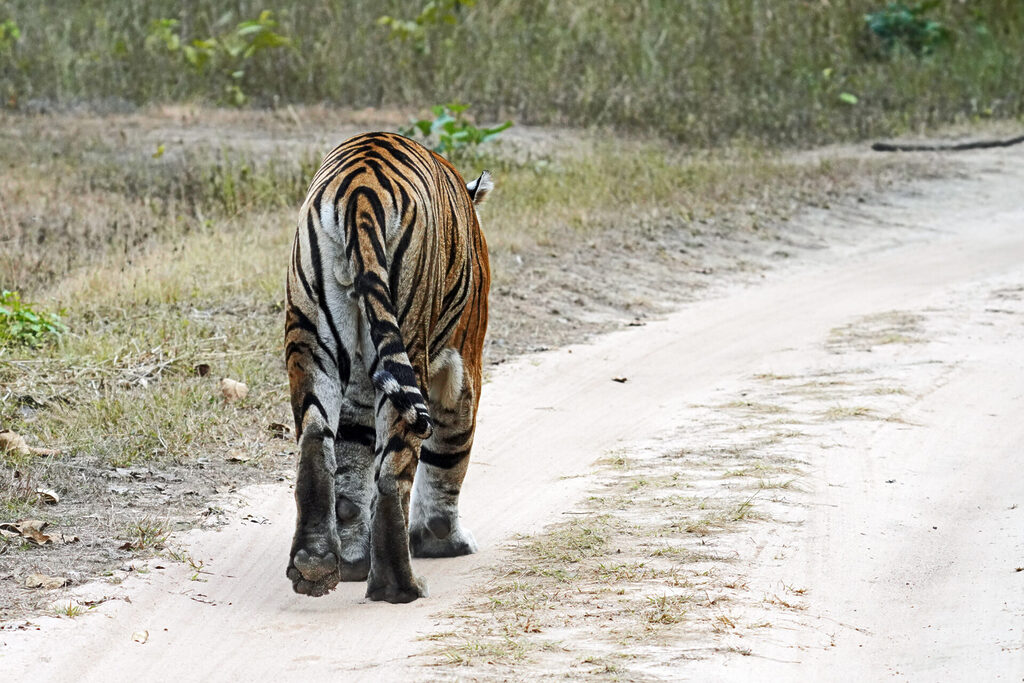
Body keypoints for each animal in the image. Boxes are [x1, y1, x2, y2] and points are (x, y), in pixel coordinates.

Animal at [284, 131, 492, 603]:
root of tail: (360, 191)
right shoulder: (464, 364)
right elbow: (451, 453)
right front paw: (443, 540)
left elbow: (352, 463)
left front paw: (353, 560)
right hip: (409, 344)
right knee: (394, 474)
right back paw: (400, 587)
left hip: (312, 340)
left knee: (316, 443)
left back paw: (315, 566)